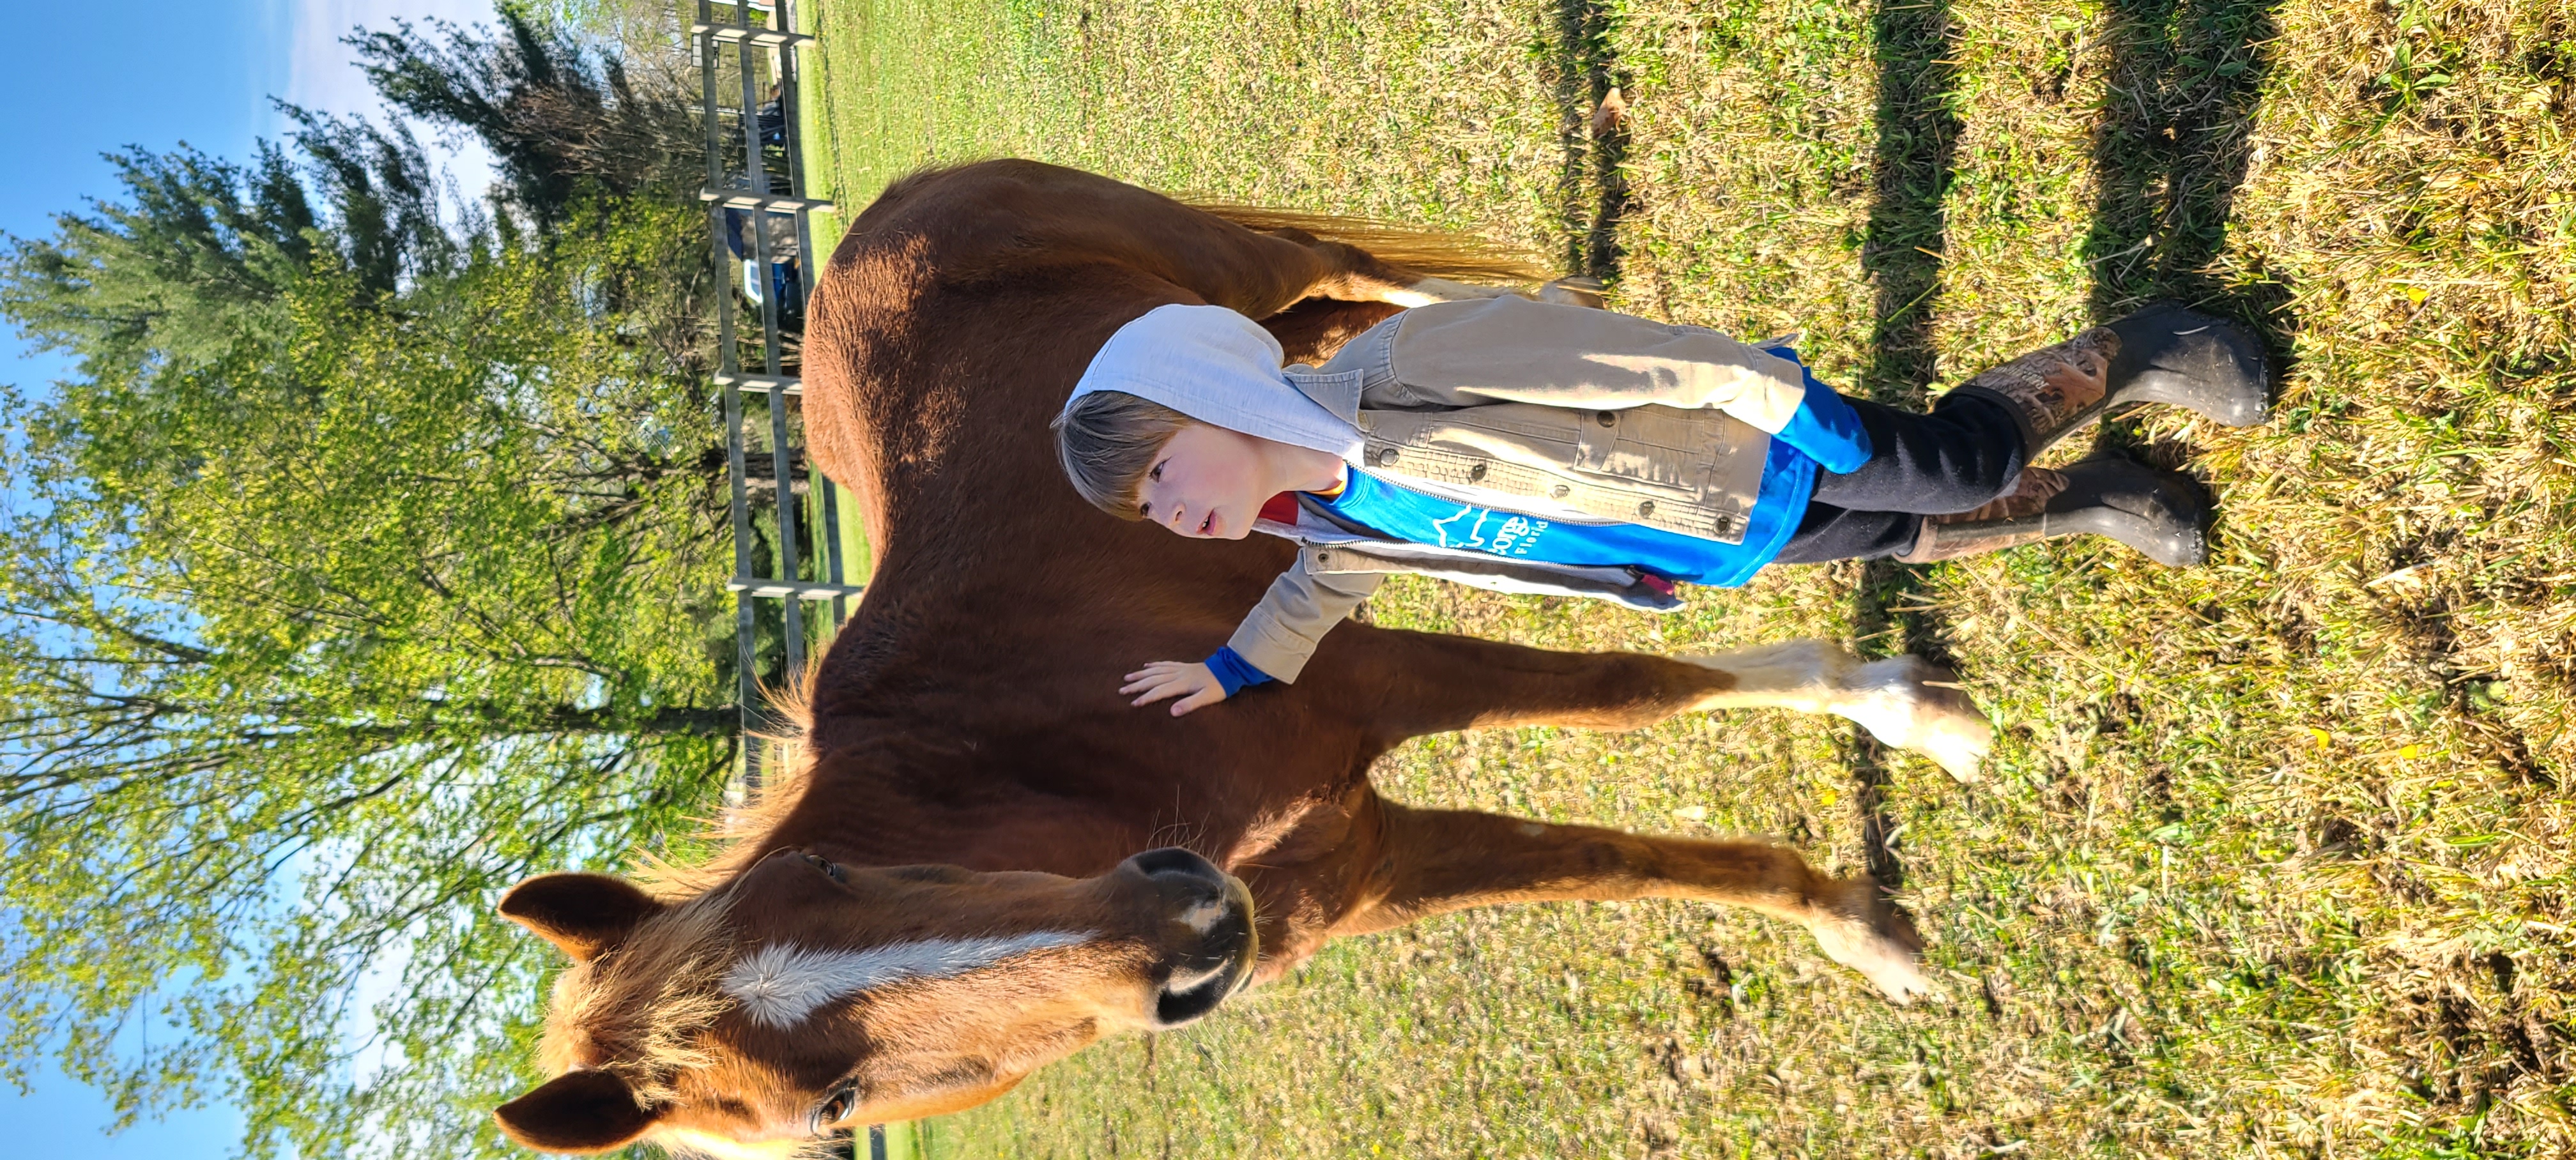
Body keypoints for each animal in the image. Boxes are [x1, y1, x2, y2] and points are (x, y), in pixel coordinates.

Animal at [489, 159, 1994, 1157]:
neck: (1044, 755)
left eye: (835, 874)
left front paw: (1908, 716)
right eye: (828, 1106)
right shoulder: (1362, 867)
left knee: (1352, 280)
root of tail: (859, 230)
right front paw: (1862, 927)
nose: (1192, 932)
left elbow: (1634, 695)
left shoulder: (1372, 680)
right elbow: (1616, 863)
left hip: (1236, 268)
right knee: (1331, 330)